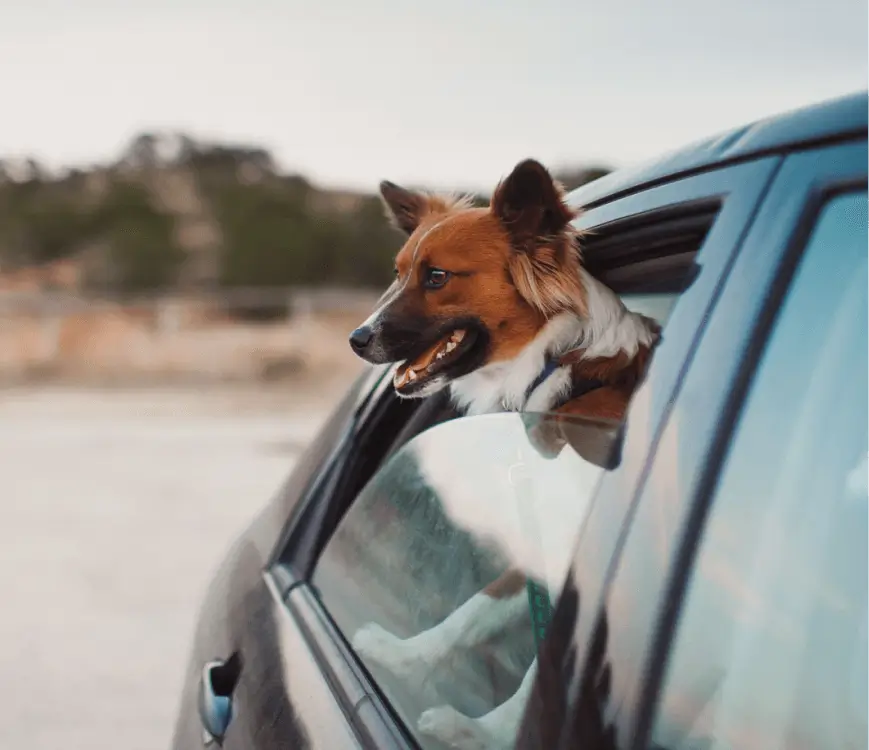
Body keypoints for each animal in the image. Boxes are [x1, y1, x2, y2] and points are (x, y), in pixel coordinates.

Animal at [346, 160, 656, 750]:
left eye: (437, 277)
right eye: (398, 272)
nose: (356, 338)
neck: (562, 368)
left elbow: (548, 668)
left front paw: (486, 733)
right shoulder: (539, 539)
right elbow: (475, 610)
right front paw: (404, 655)